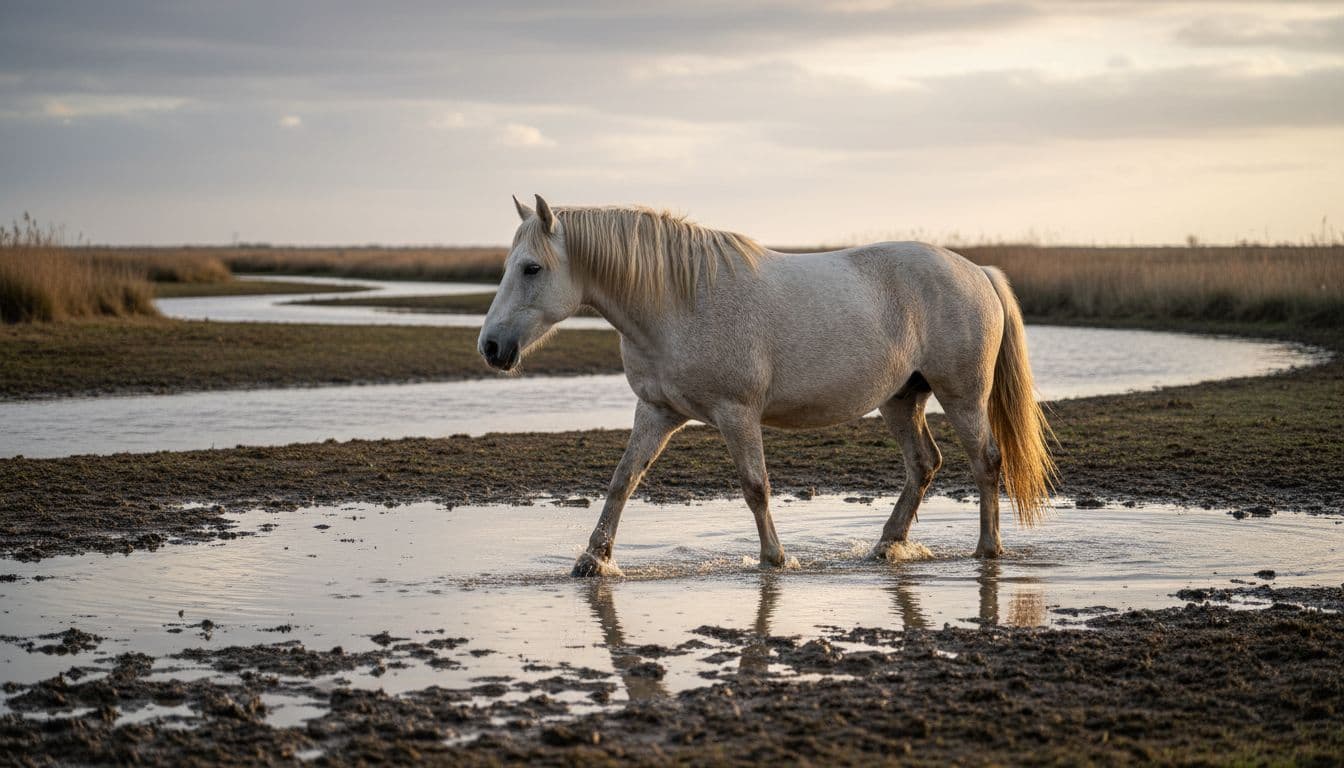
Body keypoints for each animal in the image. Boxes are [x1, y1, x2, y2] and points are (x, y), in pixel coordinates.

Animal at [479, 195, 1056, 577]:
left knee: (986, 462)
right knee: (924, 465)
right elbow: (623, 481)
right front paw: (593, 560)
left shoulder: (737, 414)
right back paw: (887, 546)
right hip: (900, 400)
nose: (491, 347)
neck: (679, 301)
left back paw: (987, 549)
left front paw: (774, 559)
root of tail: (977, 272)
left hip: (963, 397)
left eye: (531, 268)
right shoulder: (656, 412)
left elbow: (755, 486)